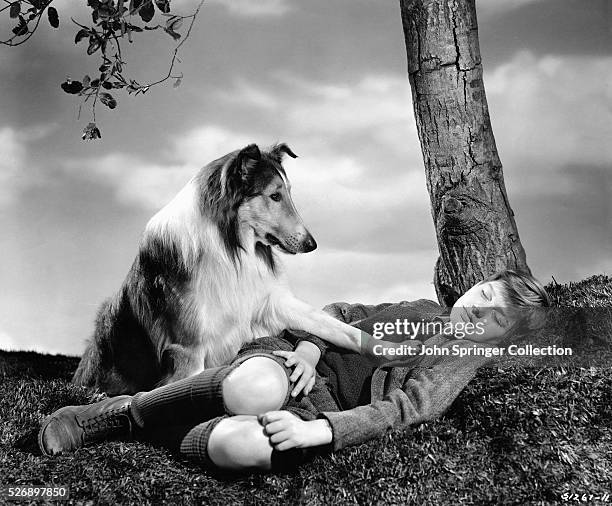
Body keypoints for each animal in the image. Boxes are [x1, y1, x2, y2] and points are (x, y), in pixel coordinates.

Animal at [74, 143, 366, 396]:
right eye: (274, 195)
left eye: (288, 193)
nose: (312, 244)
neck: (233, 251)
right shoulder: (187, 350)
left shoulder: (272, 302)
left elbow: (343, 330)